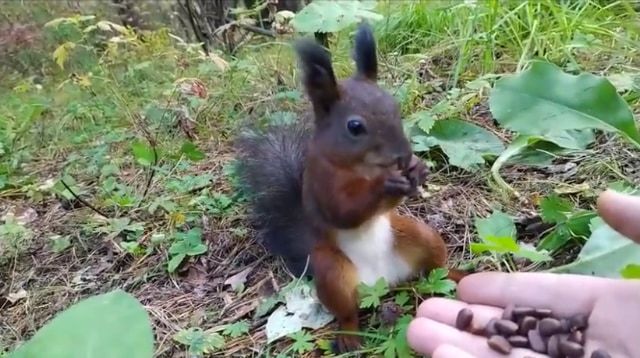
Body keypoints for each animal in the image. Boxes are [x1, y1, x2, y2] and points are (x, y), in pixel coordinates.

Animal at [235, 23, 464, 356]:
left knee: (437, 269)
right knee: (348, 311)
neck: (363, 168)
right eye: (355, 127)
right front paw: (386, 185)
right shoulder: (321, 182)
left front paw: (418, 168)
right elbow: (343, 212)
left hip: (420, 236)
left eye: (395, 106)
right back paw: (350, 336)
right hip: (333, 272)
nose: (403, 155)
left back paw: (460, 274)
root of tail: (383, 281)